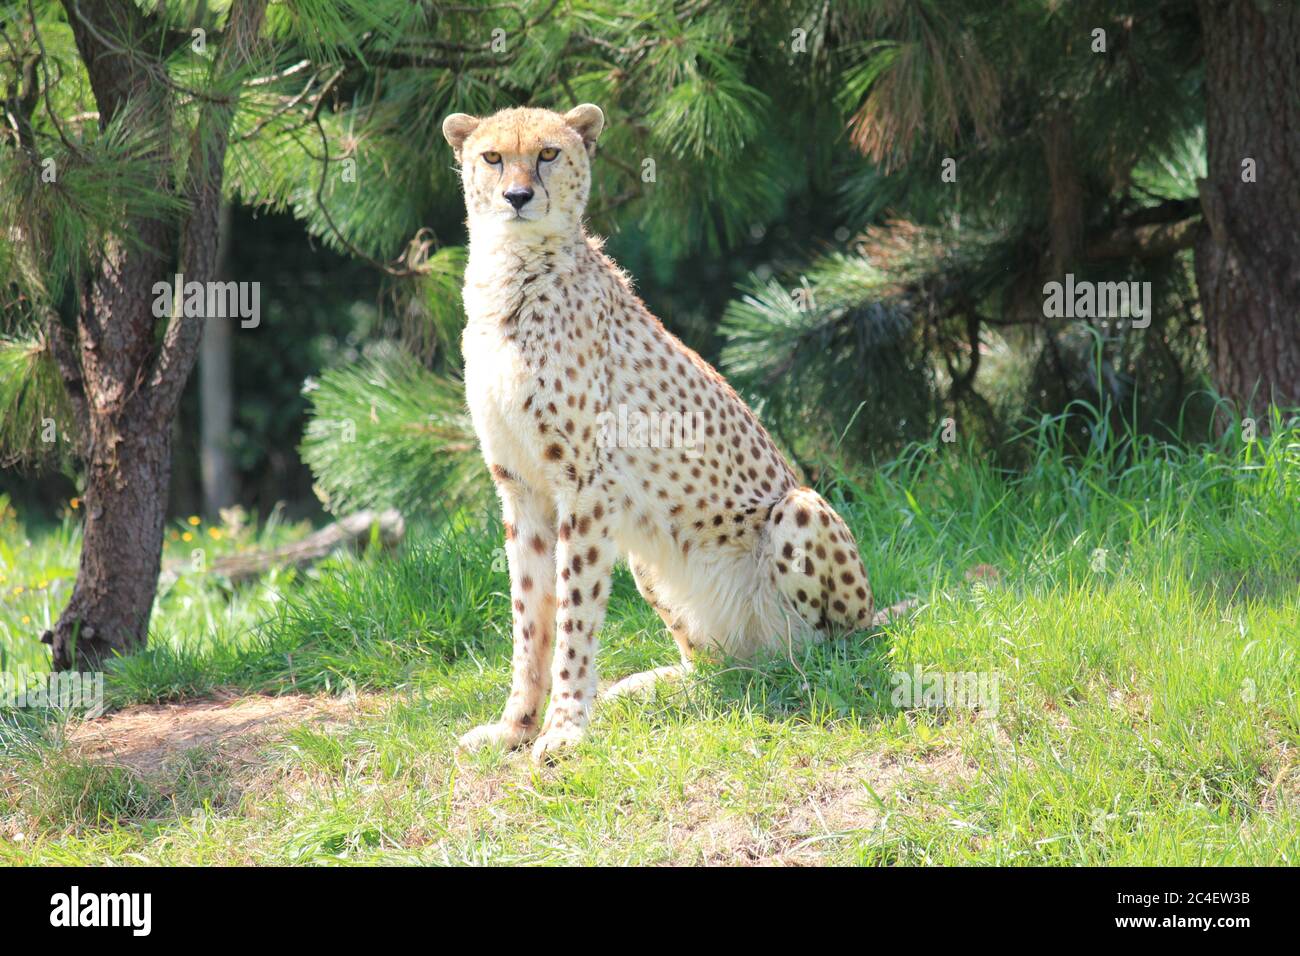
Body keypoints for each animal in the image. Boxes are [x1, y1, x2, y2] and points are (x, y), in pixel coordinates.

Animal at [447, 104, 894, 764]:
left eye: (549, 154)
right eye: (492, 157)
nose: (518, 196)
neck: (512, 275)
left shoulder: (584, 487)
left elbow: (574, 617)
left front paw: (564, 729)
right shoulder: (521, 488)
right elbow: (531, 618)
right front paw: (515, 727)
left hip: (800, 511)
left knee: (826, 652)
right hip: (650, 562)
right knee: (723, 665)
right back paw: (650, 685)